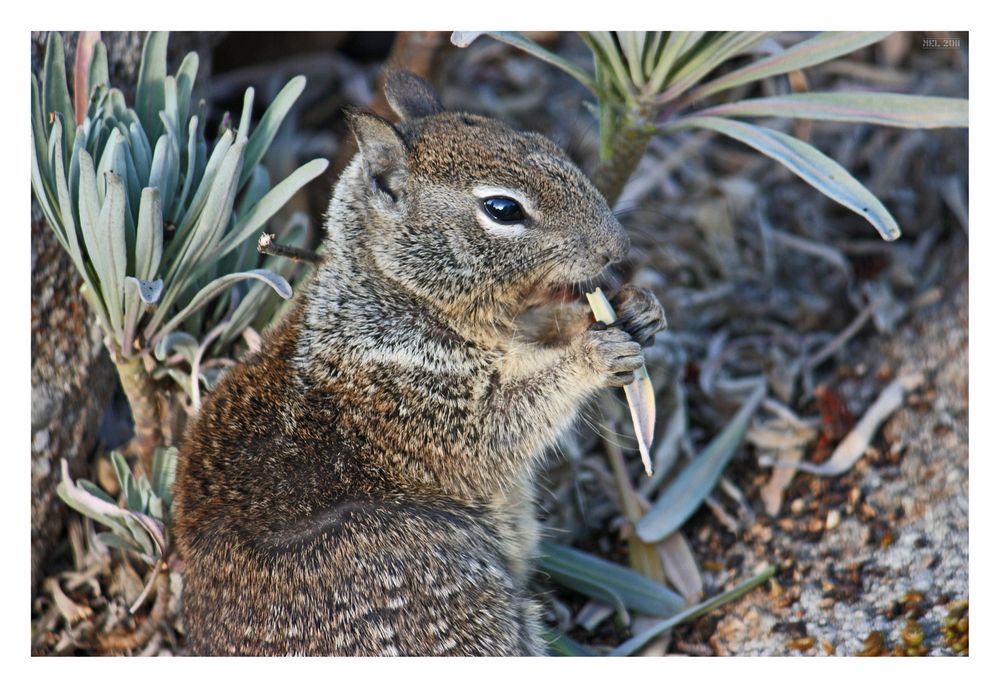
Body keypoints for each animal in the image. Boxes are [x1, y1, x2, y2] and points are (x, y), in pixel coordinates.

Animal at [176, 70, 668, 656]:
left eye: (548, 145)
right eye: (503, 209)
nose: (619, 245)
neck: (394, 292)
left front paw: (636, 308)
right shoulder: (412, 397)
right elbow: (504, 421)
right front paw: (593, 352)